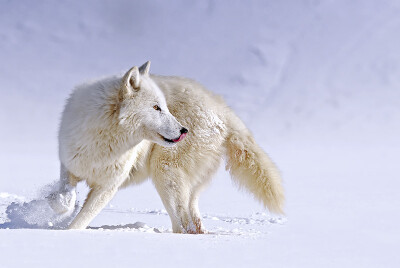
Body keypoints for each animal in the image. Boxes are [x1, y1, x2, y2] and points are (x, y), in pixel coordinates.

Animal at [48, 60, 282, 232]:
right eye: (156, 107)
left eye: (165, 107)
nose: (184, 130)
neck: (105, 139)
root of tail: (222, 110)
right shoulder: (70, 164)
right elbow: (65, 196)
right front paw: (57, 205)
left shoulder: (108, 187)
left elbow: (80, 222)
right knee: (193, 223)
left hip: (165, 175)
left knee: (182, 227)